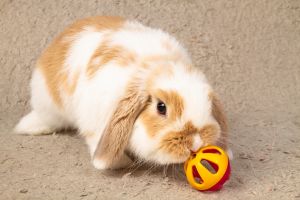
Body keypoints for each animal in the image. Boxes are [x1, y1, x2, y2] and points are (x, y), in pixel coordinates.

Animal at [14, 16, 230, 170]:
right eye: (161, 107)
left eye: (209, 105)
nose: (196, 143)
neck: (154, 67)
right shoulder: (95, 122)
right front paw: (122, 164)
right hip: (47, 102)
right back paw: (27, 127)